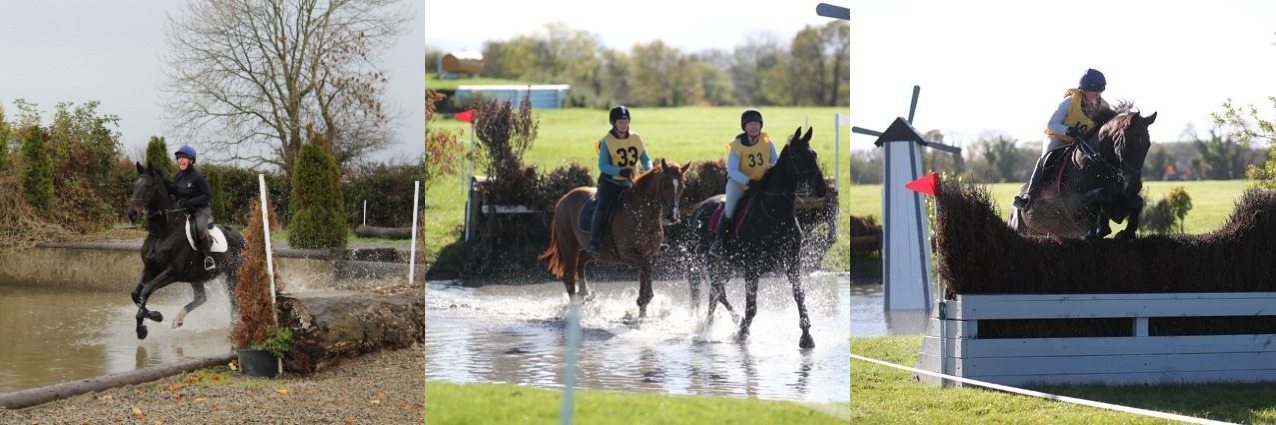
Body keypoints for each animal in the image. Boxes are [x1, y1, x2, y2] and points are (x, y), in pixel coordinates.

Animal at [128, 161, 246, 336]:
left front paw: (145, 326)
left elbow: (146, 290)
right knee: (201, 298)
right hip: (196, 276)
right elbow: (137, 295)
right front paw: (152, 319)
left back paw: (234, 323)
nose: (132, 214)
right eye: (135, 185)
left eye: (148, 186)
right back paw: (178, 319)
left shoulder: (172, 272)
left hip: (233, 273)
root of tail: (242, 237)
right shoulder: (150, 268)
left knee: (233, 298)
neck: (163, 231)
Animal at [543, 158, 694, 313]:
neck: (641, 215)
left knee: (581, 264)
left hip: (592, 252)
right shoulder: (627, 254)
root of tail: (563, 200)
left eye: (682, 187)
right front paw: (643, 300)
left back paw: (585, 293)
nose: (672, 217)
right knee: (569, 277)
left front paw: (644, 305)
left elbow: (646, 270)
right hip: (570, 248)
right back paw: (575, 306)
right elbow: (645, 267)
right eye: (665, 185)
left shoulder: (651, 254)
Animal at [689, 125, 826, 347]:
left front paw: (806, 336)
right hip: (711, 261)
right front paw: (741, 332)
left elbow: (799, 295)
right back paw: (722, 323)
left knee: (715, 293)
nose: (822, 188)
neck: (777, 215)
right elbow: (752, 305)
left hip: (725, 265)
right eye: (798, 155)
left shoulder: (791, 261)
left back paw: (709, 326)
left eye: (813, 154)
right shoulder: (752, 266)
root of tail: (699, 207)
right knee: (718, 290)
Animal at [1010, 102, 1163, 238]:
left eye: (1148, 145)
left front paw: (1126, 232)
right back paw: (1023, 201)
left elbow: (1137, 202)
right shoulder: (1074, 208)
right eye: (1126, 144)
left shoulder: (1121, 203)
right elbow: (1103, 194)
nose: (1134, 186)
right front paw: (1100, 229)